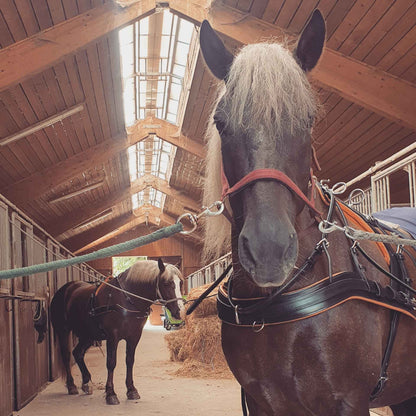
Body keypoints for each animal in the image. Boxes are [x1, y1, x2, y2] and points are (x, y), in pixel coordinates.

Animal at [50, 258, 184, 404]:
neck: (126, 299)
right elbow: (111, 363)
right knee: (67, 355)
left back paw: (86, 383)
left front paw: (131, 390)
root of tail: (65, 289)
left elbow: (130, 360)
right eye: (166, 283)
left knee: (78, 353)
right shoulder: (112, 336)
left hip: (88, 335)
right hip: (64, 331)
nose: (180, 312)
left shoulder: (134, 336)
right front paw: (111, 394)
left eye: (180, 283)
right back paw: (71, 386)